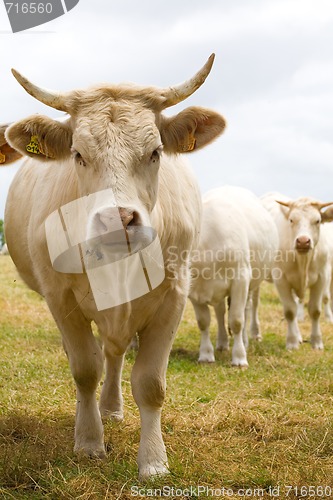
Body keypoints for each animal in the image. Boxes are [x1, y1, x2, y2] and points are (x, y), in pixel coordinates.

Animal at [3, 54, 226, 476]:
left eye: (155, 152)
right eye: (78, 154)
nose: (117, 220)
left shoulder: (173, 297)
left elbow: (150, 383)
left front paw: (153, 459)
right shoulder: (60, 298)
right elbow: (84, 369)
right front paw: (89, 440)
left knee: (115, 353)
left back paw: (111, 407)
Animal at [187, 187, 278, 368]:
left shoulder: (240, 279)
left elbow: (236, 320)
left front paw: (239, 357)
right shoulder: (194, 290)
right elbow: (203, 322)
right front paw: (206, 354)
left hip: (250, 284)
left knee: (246, 310)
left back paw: (244, 341)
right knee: (220, 312)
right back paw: (222, 343)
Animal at [260, 193, 332, 350]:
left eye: (317, 221)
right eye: (291, 220)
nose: (303, 241)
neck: (303, 260)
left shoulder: (322, 277)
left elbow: (315, 310)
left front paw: (317, 342)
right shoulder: (281, 279)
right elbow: (290, 311)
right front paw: (292, 342)